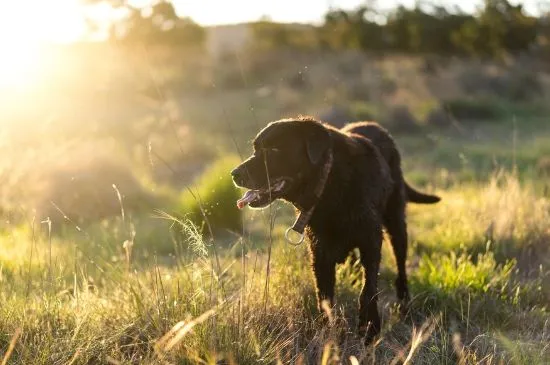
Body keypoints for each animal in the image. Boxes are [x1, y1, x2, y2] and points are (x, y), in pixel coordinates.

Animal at [231, 116, 442, 342]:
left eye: (274, 150)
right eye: (255, 149)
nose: (234, 174)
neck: (329, 183)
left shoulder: (371, 241)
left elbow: (368, 290)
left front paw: (369, 328)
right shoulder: (319, 251)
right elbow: (324, 297)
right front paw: (327, 333)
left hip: (396, 224)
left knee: (400, 266)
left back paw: (404, 304)